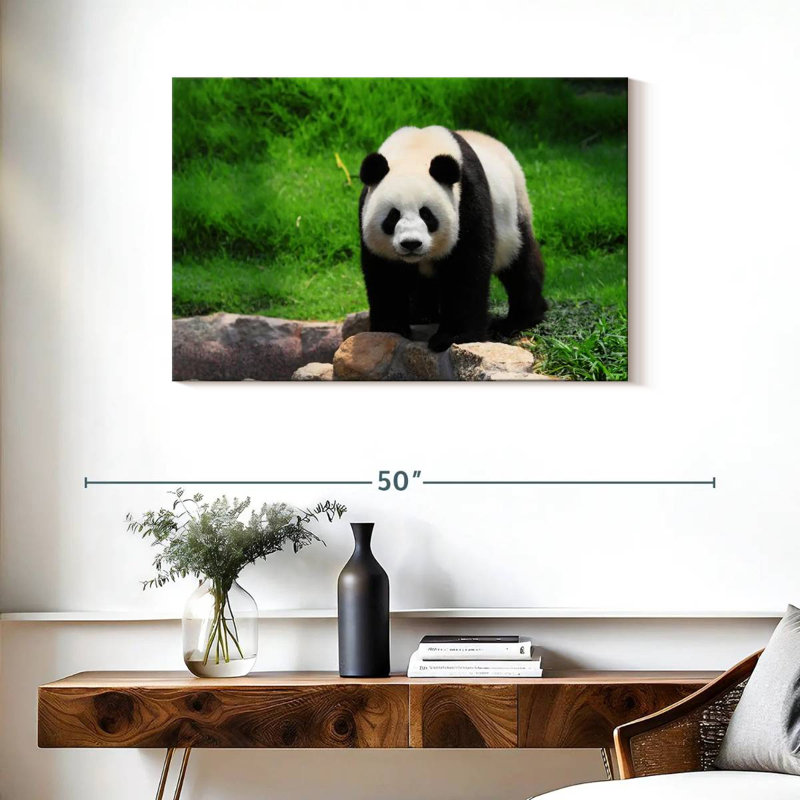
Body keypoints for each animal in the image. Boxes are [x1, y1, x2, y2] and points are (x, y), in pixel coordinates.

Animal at [359, 125, 546, 352]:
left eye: (427, 215)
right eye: (393, 216)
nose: (411, 243)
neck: (415, 150)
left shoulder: (468, 198)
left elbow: (465, 268)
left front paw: (452, 337)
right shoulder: (366, 209)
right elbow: (386, 274)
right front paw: (390, 329)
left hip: (514, 215)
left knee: (520, 264)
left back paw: (519, 320)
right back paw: (421, 314)